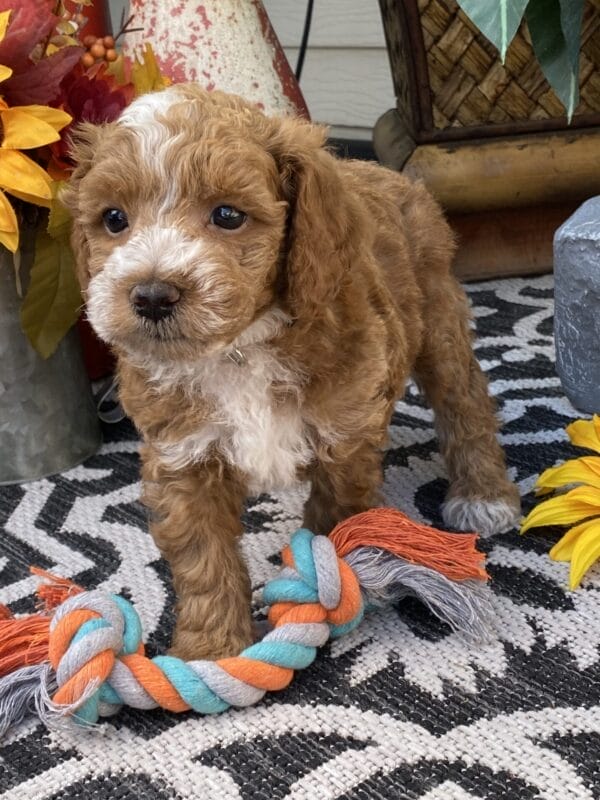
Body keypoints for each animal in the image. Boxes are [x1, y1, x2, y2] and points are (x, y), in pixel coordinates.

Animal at [62, 84, 520, 660]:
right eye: (114, 220)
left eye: (228, 215)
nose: (151, 295)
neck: (239, 348)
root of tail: (391, 174)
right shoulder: (183, 455)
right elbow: (203, 556)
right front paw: (210, 652)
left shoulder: (342, 432)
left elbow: (330, 524)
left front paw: (325, 598)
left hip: (438, 318)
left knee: (465, 401)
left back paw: (483, 495)